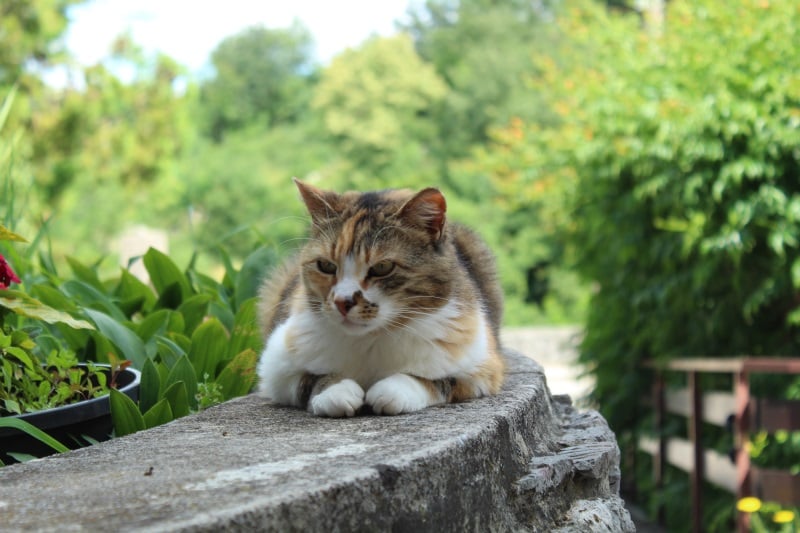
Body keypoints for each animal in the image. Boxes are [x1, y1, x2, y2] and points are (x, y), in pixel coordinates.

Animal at [256, 179, 506, 416]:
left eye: (382, 267)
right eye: (326, 265)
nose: (342, 302)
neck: (371, 340)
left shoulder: (482, 369)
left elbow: (436, 380)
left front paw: (393, 390)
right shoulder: (274, 368)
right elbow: (309, 379)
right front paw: (336, 391)